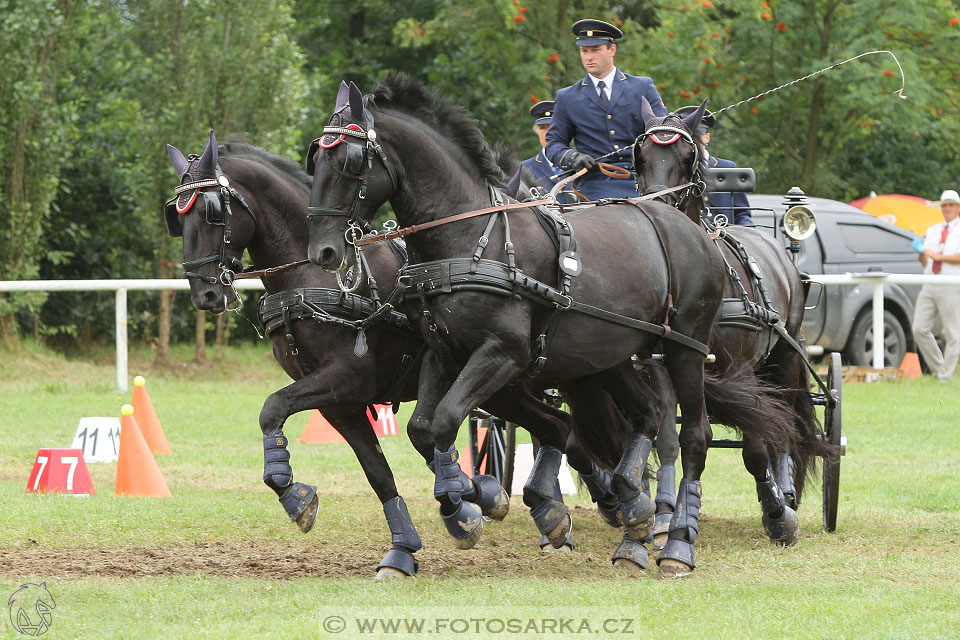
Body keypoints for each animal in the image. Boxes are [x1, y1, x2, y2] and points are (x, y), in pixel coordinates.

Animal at [306, 76, 796, 580]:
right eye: (314, 158)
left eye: (350, 161)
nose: (323, 251)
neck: (471, 238)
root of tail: (690, 227)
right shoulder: (445, 353)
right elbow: (424, 428)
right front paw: (470, 505)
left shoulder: (502, 354)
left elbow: (445, 420)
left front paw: (464, 513)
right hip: (613, 355)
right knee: (649, 415)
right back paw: (634, 518)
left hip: (686, 349)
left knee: (693, 437)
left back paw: (679, 540)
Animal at [632, 100, 828, 552]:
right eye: (640, 155)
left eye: (688, 157)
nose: (657, 209)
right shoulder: (664, 366)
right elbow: (670, 440)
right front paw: (667, 516)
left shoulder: (739, 369)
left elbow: (755, 448)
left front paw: (778, 514)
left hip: (784, 358)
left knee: (785, 423)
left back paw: (784, 492)